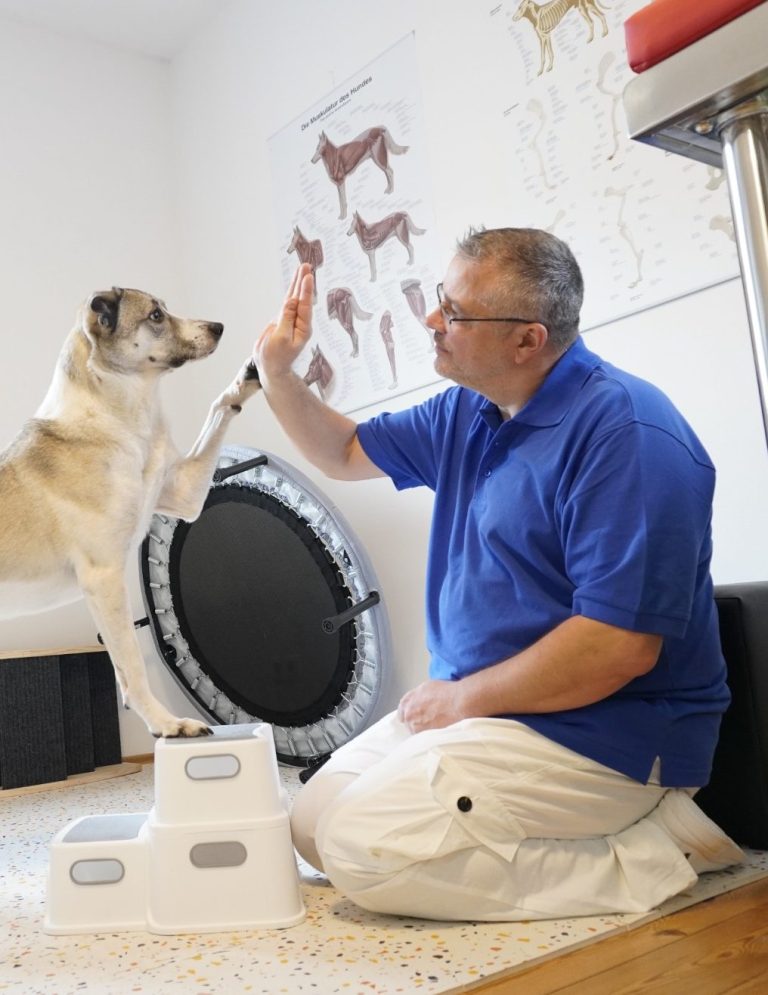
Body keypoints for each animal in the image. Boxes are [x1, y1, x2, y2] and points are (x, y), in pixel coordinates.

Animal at [0, 288, 261, 737]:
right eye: (155, 315)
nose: (218, 327)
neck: (117, 415)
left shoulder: (186, 495)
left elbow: (218, 407)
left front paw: (248, 376)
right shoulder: (104, 579)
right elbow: (132, 668)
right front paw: (169, 725)